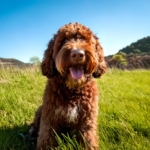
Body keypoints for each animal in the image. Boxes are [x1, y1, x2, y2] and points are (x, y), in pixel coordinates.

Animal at [28, 22, 106, 150]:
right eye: (64, 40)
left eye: (84, 39)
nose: (78, 54)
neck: (72, 90)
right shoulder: (49, 116)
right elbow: (46, 137)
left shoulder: (87, 118)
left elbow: (88, 137)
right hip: (40, 109)